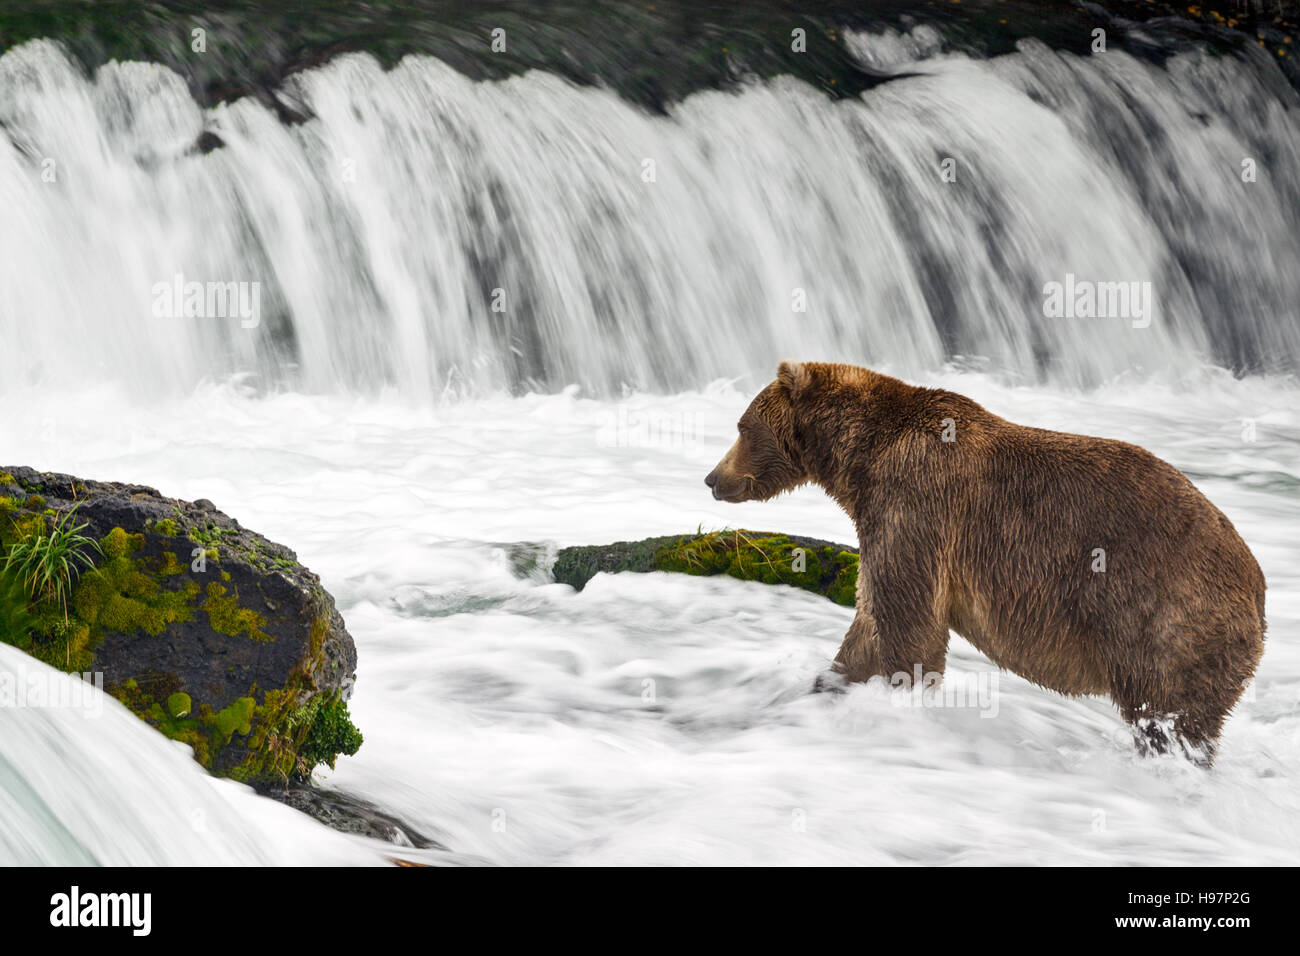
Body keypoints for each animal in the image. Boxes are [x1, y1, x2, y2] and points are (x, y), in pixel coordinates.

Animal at [707, 361, 1263, 764]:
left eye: (741, 426)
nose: (713, 478)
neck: (859, 461)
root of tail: (1258, 588)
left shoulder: (915, 506)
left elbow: (910, 627)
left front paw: (898, 705)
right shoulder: (887, 520)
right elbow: (868, 626)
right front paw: (825, 686)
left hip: (1166, 618)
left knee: (1167, 717)